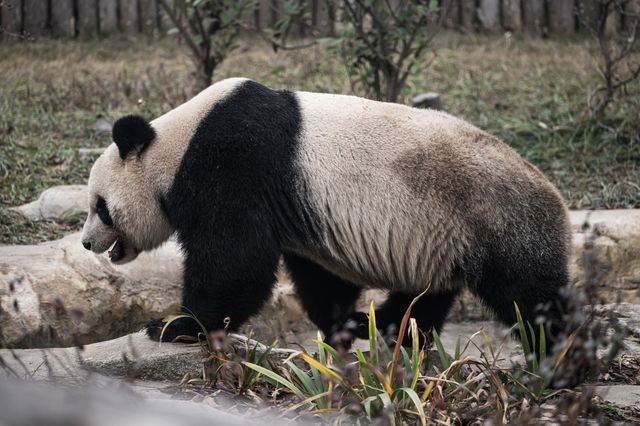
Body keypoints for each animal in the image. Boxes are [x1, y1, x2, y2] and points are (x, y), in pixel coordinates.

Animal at [81, 77, 568, 350]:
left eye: (100, 207)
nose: (86, 242)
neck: (174, 146)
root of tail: (555, 195)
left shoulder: (233, 166)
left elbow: (235, 262)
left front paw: (176, 326)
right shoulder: (301, 212)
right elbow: (318, 275)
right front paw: (339, 326)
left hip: (496, 219)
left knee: (530, 297)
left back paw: (557, 354)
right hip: (444, 237)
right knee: (424, 298)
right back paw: (382, 328)